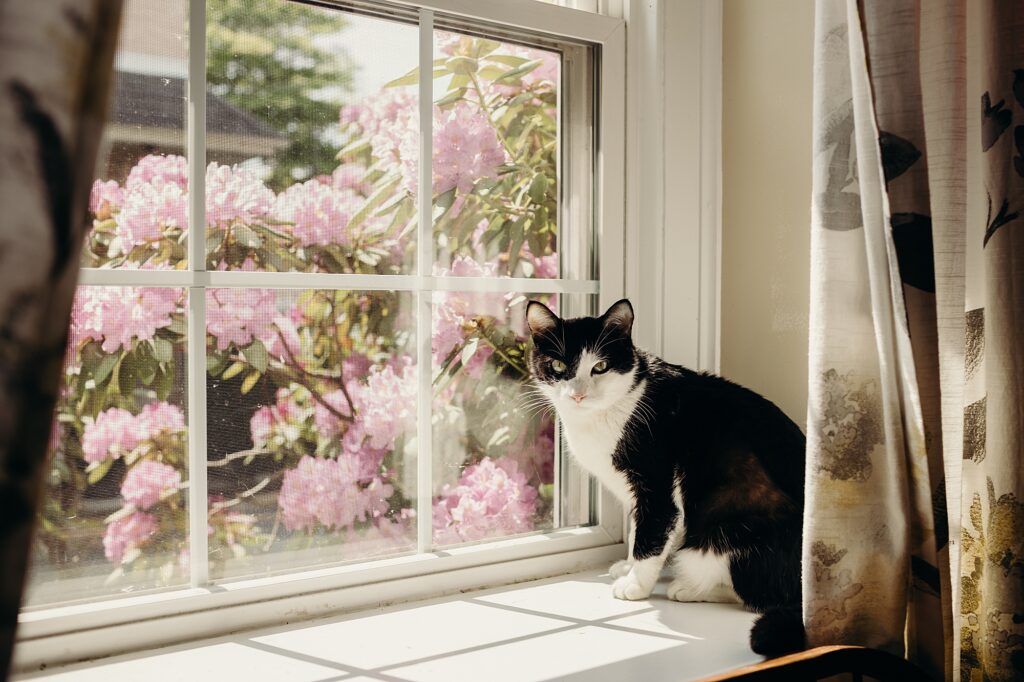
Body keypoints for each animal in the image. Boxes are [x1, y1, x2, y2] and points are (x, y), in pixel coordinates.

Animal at [528, 296, 806, 655]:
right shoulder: (637, 496)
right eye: (559, 366)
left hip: (729, 531)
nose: (577, 394)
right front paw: (629, 565)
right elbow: (639, 532)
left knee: (759, 593)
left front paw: (635, 584)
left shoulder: (657, 484)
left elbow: (651, 535)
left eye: (600, 366)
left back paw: (690, 588)